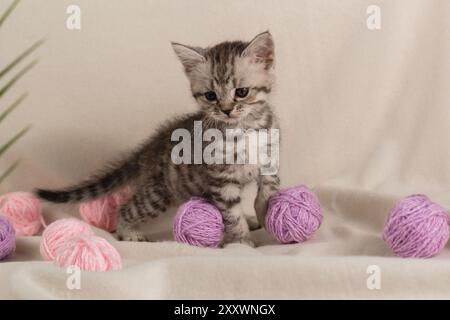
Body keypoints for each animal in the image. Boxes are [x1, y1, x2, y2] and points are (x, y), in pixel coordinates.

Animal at [37, 31, 280, 246]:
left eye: (242, 92)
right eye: (210, 96)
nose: (227, 110)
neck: (244, 129)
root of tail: (150, 146)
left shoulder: (269, 162)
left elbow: (268, 192)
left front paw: (266, 214)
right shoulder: (222, 182)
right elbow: (231, 214)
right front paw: (241, 242)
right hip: (158, 193)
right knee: (127, 208)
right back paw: (128, 233)